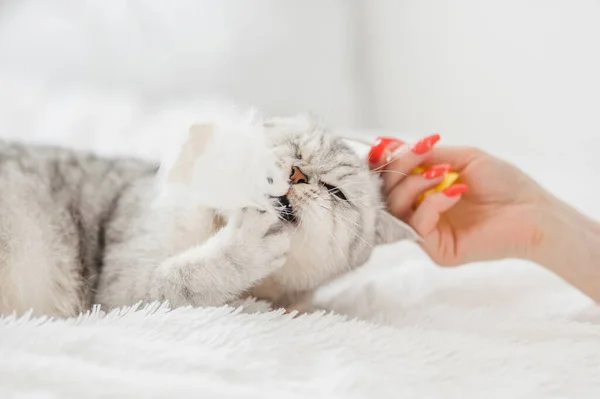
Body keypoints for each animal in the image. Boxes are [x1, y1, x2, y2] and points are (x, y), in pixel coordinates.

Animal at [0, 114, 414, 318]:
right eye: (295, 150)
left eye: (335, 191)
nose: (297, 174)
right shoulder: (119, 293)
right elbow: (186, 277)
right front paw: (242, 253)